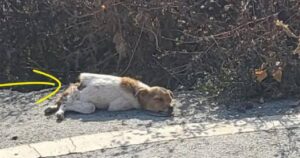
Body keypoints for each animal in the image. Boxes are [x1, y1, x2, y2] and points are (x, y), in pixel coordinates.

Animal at [45, 73, 175, 121]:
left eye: (170, 99)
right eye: (158, 99)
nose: (171, 107)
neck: (136, 93)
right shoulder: (116, 106)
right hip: (77, 99)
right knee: (66, 103)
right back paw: (58, 112)